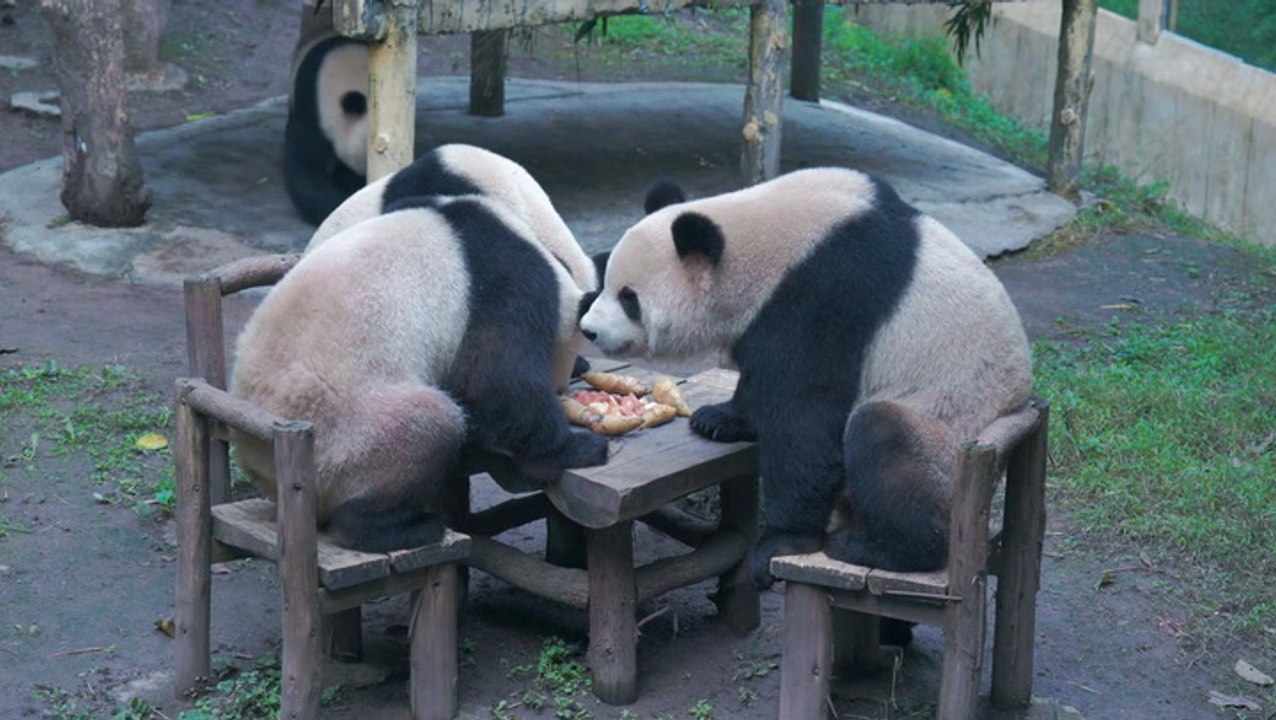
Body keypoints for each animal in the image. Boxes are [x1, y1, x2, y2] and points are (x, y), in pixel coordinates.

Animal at [230, 196, 610, 552]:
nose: (561, 388)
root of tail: (265, 463)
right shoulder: (505, 282)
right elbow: (494, 382)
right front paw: (577, 449)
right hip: (346, 434)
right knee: (426, 424)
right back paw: (398, 528)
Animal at [580, 167, 1033, 591]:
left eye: (629, 298)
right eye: (606, 282)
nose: (589, 330)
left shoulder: (825, 294)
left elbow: (804, 418)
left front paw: (777, 546)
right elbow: (762, 377)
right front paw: (719, 419)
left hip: (947, 428)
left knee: (884, 436)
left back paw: (877, 548)